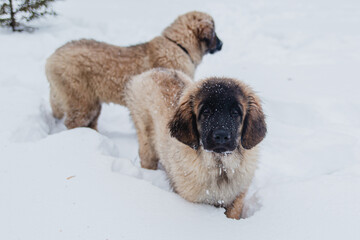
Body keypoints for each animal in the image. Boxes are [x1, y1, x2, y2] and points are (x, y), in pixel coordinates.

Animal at [45, 11, 222, 130]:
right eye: (214, 32)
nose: (222, 44)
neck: (178, 45)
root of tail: (52, 57)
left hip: (90, 100)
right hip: (81, 99)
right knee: (75, 121)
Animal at [125, 68, 266, 218]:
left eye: (235, 112)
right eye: (206, 112)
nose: (221, 136)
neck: (220, 168)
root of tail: (155, 70)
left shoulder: (237, 198)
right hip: (146, 142)